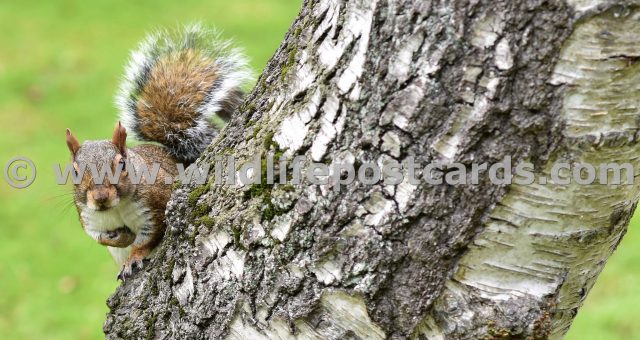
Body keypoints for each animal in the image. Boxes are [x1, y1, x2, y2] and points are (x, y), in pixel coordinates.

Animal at [63, 23, 252, 278]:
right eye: (74, 171)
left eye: (121, 164)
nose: (101, 198)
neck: (116, 207)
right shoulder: (88, 217)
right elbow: (100, 238)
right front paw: (121, 238)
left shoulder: (156, 204)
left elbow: (148, 239)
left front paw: (133, 257)